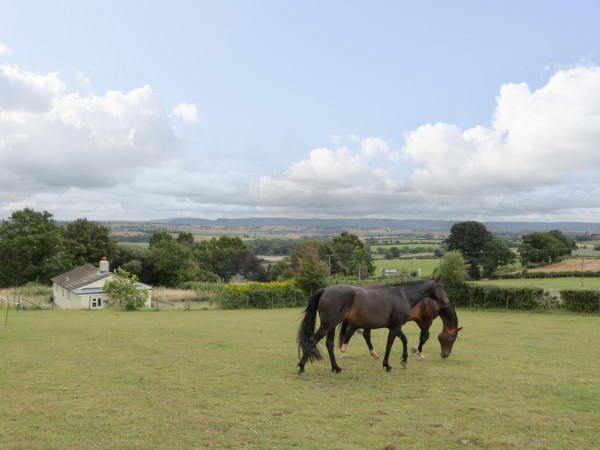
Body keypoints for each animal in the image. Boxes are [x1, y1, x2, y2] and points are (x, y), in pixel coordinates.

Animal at [298, 276, 448, 374]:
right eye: (441, 287)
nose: (446, 302)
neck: (403, 296)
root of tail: (325, 290)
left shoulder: (395, 326)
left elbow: (404, 340)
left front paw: (404, 360)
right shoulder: (395, 327)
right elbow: (389, 345)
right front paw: (387, 365)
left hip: (331, 326)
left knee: (329, 345)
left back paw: (337, 368)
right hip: (327, 325)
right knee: (312, 341)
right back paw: (301, 367)